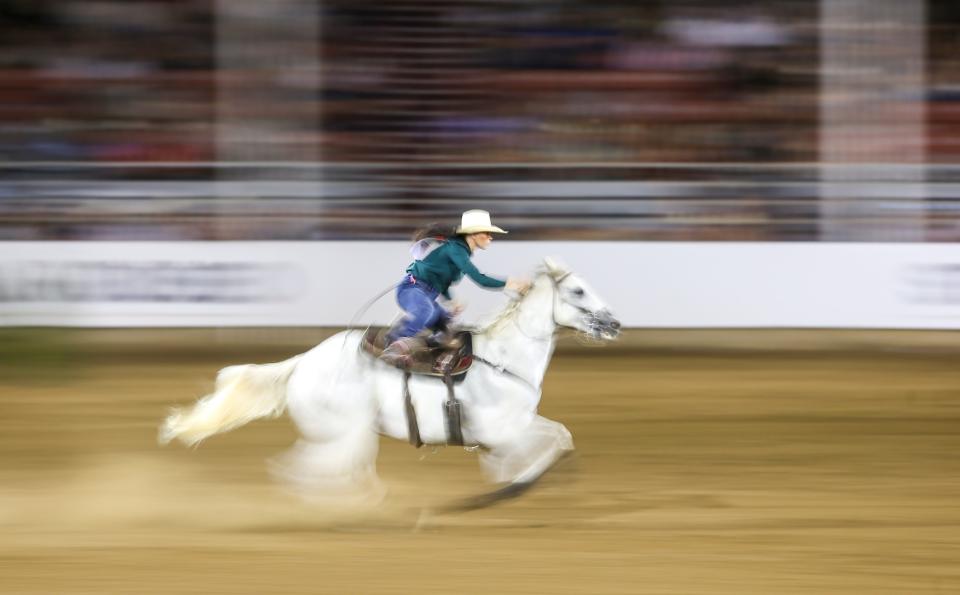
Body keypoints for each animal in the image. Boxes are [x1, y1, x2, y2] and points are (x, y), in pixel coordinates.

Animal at [160, 258, 620, 506]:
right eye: (578, 291)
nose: (614, 324)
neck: (502, 359)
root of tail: (303, 362)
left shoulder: (521, 422)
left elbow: (560, 435)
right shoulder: (503, 430)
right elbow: (543, 448)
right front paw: (509, 485)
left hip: (348, 437)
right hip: (344, 435)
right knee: (306, 472)